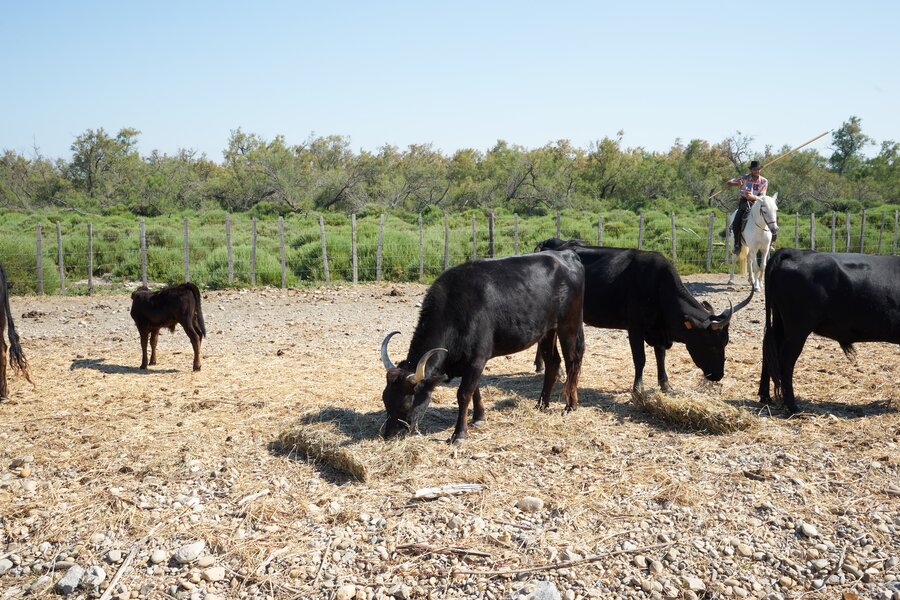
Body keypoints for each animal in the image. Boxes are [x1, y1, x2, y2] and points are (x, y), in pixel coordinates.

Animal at [378, 251, 584, 442]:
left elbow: (464, 394)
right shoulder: (469, 363)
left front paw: (459, 434)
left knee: (572, 361)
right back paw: (541, 404)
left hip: (569, 325)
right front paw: (478, 418)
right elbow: (475, 390)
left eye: (405, 405)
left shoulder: (477, 359)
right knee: (552, 362)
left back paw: (570, 405)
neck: (456, 309)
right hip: (548, 331)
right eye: (385, 399)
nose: (389, 435)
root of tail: (566, 254)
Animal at [536, 237, 752, 392]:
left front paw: (665, 384)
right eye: (712, 345)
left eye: (725, 343)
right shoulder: (635, 328)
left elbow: (660, 357)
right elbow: (640, 358)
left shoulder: (658, 331)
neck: (659, 287)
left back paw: (541, 366)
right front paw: (638, 387)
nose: (719, 375)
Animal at [760, 248, 900, 412]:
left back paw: (765, 397)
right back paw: (793, 407)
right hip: (797, 329)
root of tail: (795, 252)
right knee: (786, 361)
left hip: (780, 323)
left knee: (769, 352)